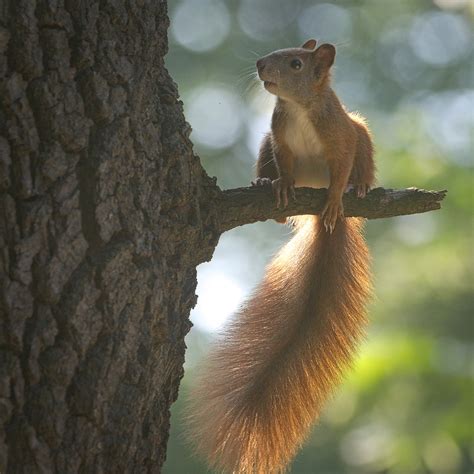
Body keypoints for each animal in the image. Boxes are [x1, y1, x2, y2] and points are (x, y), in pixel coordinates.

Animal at [187, 40, 376, 474]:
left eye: (295, 63)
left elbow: (342, 164)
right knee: (272, 172)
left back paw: (357, 191)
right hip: (263, 147)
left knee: (358, 164)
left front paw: (339, 194)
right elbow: (285, 165)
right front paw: (282, 186)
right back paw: (267, 186)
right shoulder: (279, 140)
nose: (260, 65)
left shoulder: (341, 135)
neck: (299, 107)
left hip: (362, 133)